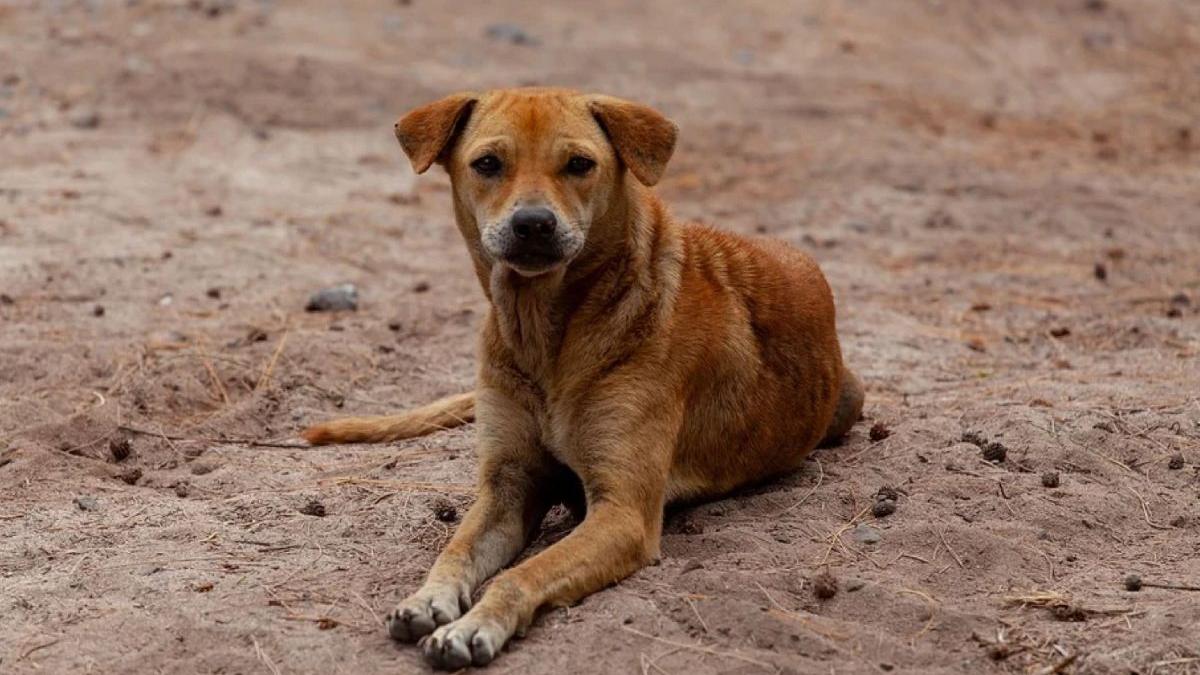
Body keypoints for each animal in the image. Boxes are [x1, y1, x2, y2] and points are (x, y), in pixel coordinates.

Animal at [303, 88, 864, 669]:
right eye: (488, 164)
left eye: (579, 164)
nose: (533, 223)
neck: (545, 334)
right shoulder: (507, 486)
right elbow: (454, 550)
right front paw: (427, 598)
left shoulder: (623, 514)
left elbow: (521, 574)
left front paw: (474, 625)